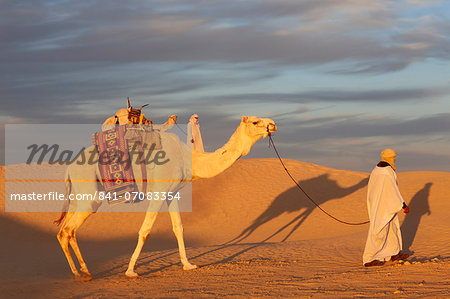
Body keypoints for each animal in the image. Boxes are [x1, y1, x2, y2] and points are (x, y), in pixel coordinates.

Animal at [54, 103, 276, 282]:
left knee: (63, 231)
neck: (187, 159)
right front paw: (130, 271)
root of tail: (69, 168)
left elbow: (178, 227)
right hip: (90, 195)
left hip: (79, 196)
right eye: (255, 121)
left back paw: (79, 272)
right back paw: (83, 272)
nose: (273, 124)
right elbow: (145, 230)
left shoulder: (172, 194)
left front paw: (188, 265)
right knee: (69, 230)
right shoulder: (159, 192)